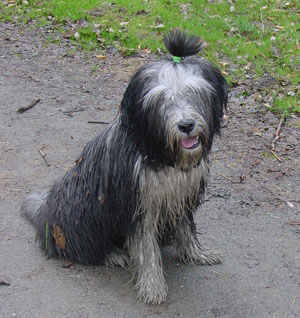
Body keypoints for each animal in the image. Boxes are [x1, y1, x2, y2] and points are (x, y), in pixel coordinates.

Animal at [21, 29, 227, 304]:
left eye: (194, 92)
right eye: (162, 99)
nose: (186, 125)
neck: (162, 155)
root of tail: (45, 214)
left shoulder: (182, 196)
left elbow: (185, 228)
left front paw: (197, 254)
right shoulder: (138, 206)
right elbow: (146, 249)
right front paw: (153, 286)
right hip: (83, 212)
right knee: (78, 248)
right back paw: (112, 255)